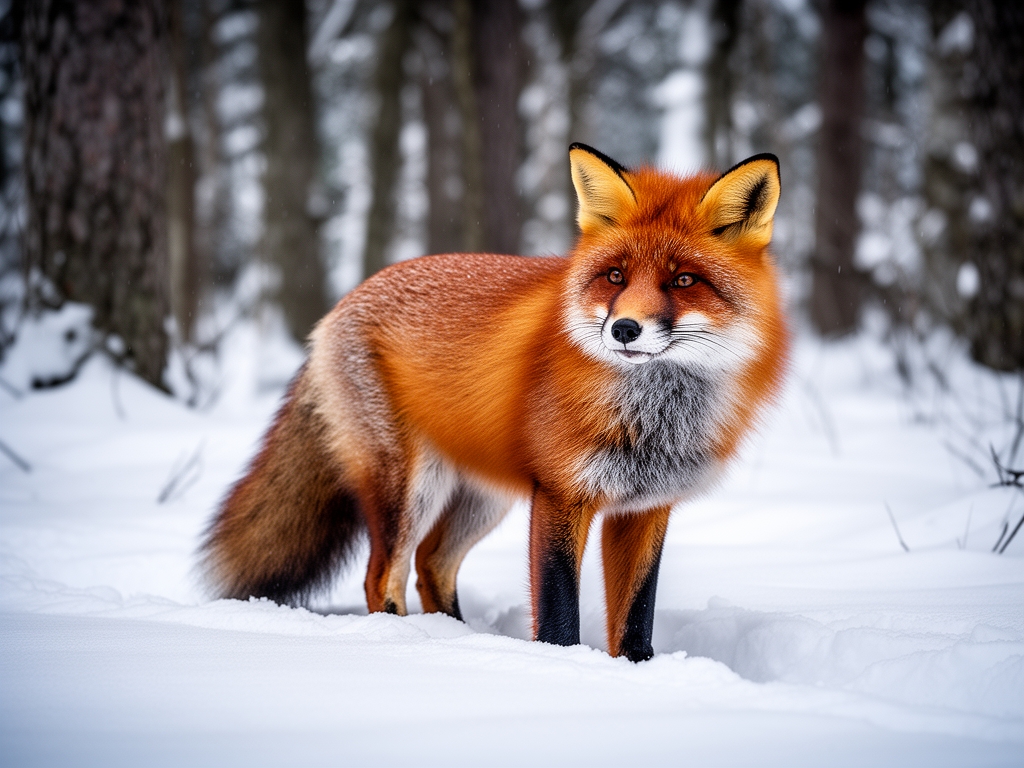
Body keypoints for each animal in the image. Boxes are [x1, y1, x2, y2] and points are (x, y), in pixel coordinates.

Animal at [201, 143, 789, 662]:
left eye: (684, 280)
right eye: (616, 276)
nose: (623, 329)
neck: (654, 416)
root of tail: (340, 306)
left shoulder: (644, 508)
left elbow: (635, 619)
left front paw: (637, 672)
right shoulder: (560, 495)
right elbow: (557, 612)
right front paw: (563, 668)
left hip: (482, 497)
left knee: (431, 564)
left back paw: (458, 640)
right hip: (409, 488)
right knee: (383, 574)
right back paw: (405, 643)